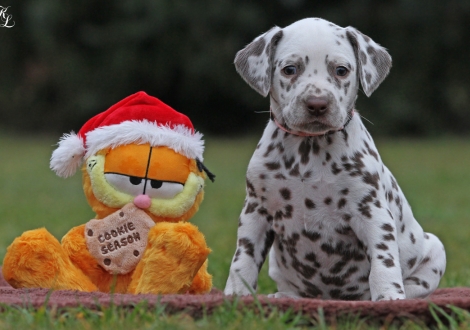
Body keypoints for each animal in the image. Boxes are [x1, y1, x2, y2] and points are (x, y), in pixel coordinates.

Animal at [224, 18, 444, 302]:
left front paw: (388, 296)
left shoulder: (372, 212)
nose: (317, 104)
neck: (309, 151)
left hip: (435, 250)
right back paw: (285, 296)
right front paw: (235, 295)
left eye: (341, 70)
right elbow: (244, 258)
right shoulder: (256, 212)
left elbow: (383, 260)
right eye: (289, 69)